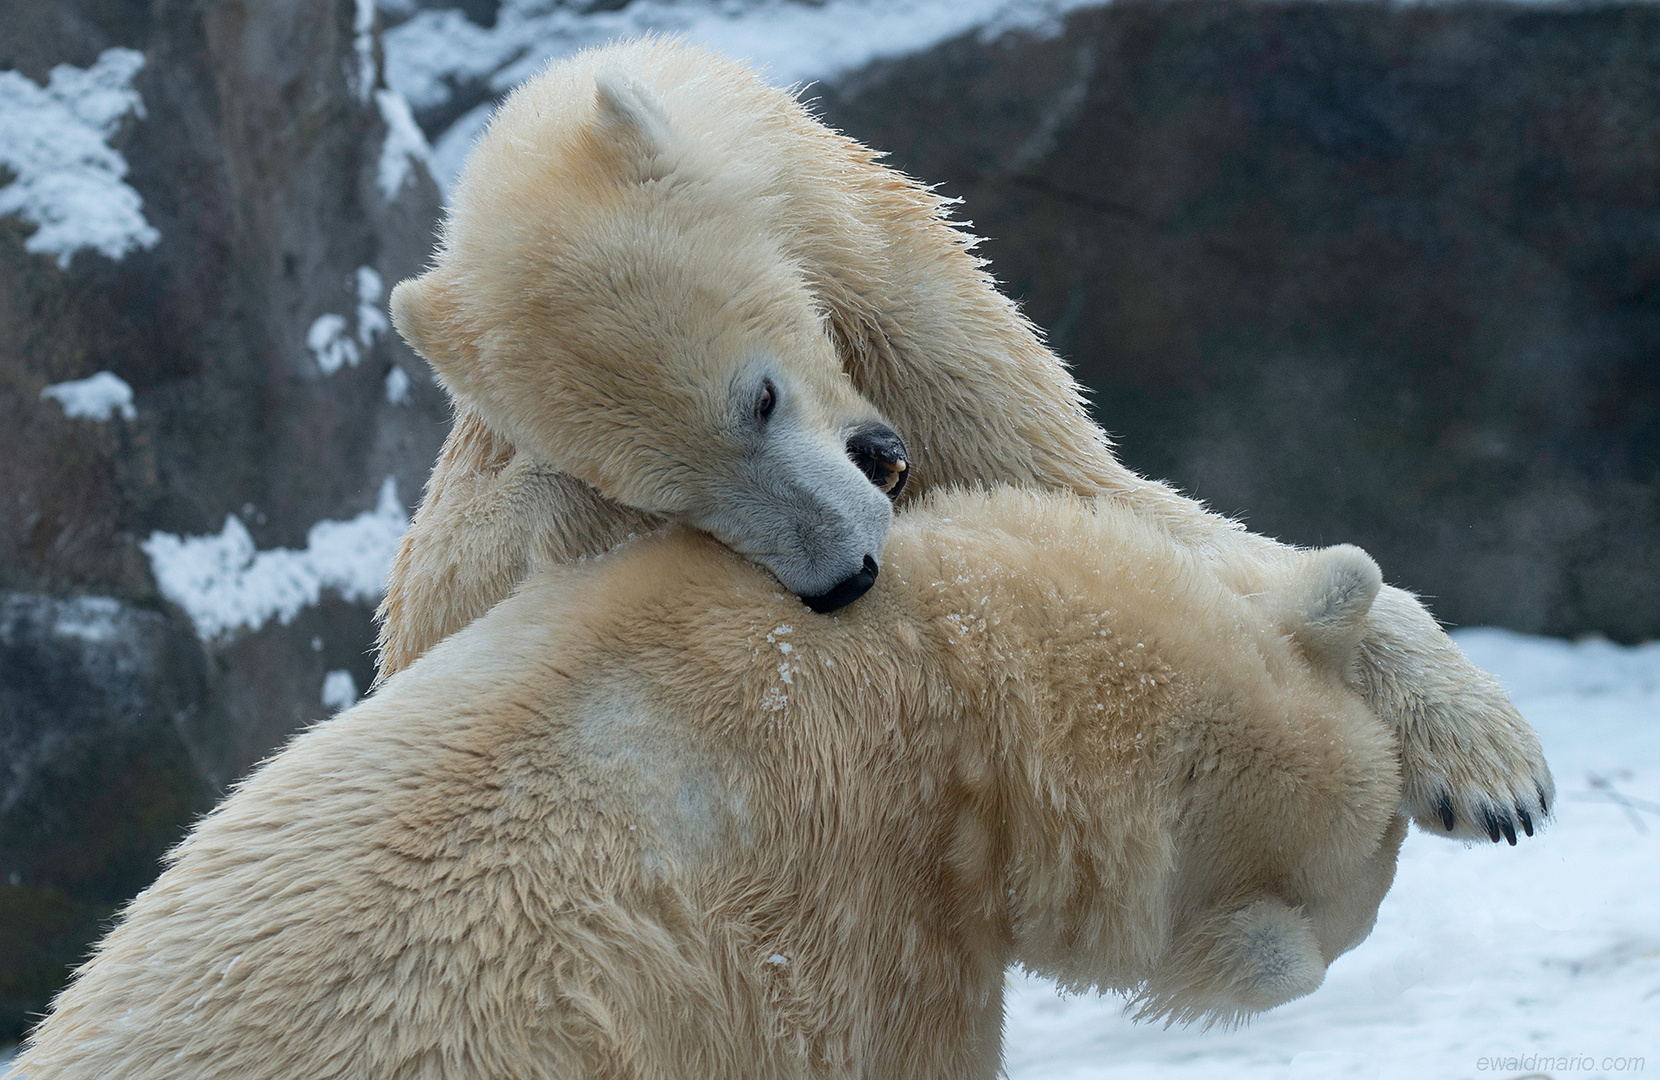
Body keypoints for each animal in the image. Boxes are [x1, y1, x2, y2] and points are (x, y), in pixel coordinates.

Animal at [373, 35, 1540, 846]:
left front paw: (1491, 770)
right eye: (665, 504)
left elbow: (1093, 494)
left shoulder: (897, 296)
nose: (843, 574)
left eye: (761, 399)